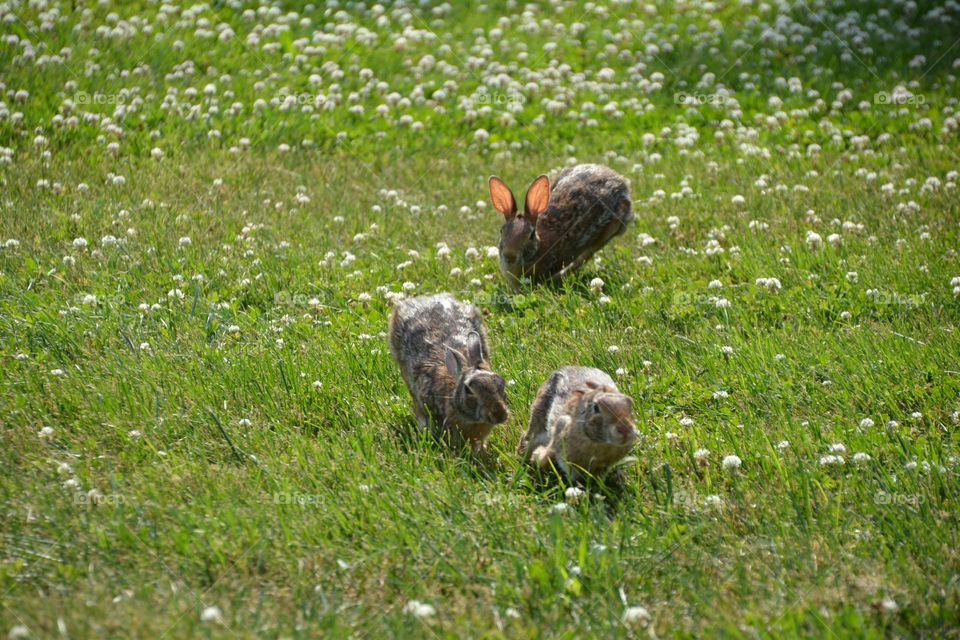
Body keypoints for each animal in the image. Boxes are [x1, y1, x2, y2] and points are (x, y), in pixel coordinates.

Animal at [488, 163, 634, 289]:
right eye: (502, 231)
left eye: (530, 235)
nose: (510, 256)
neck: (537, 249)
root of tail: (621, 182)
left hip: (608, 230)